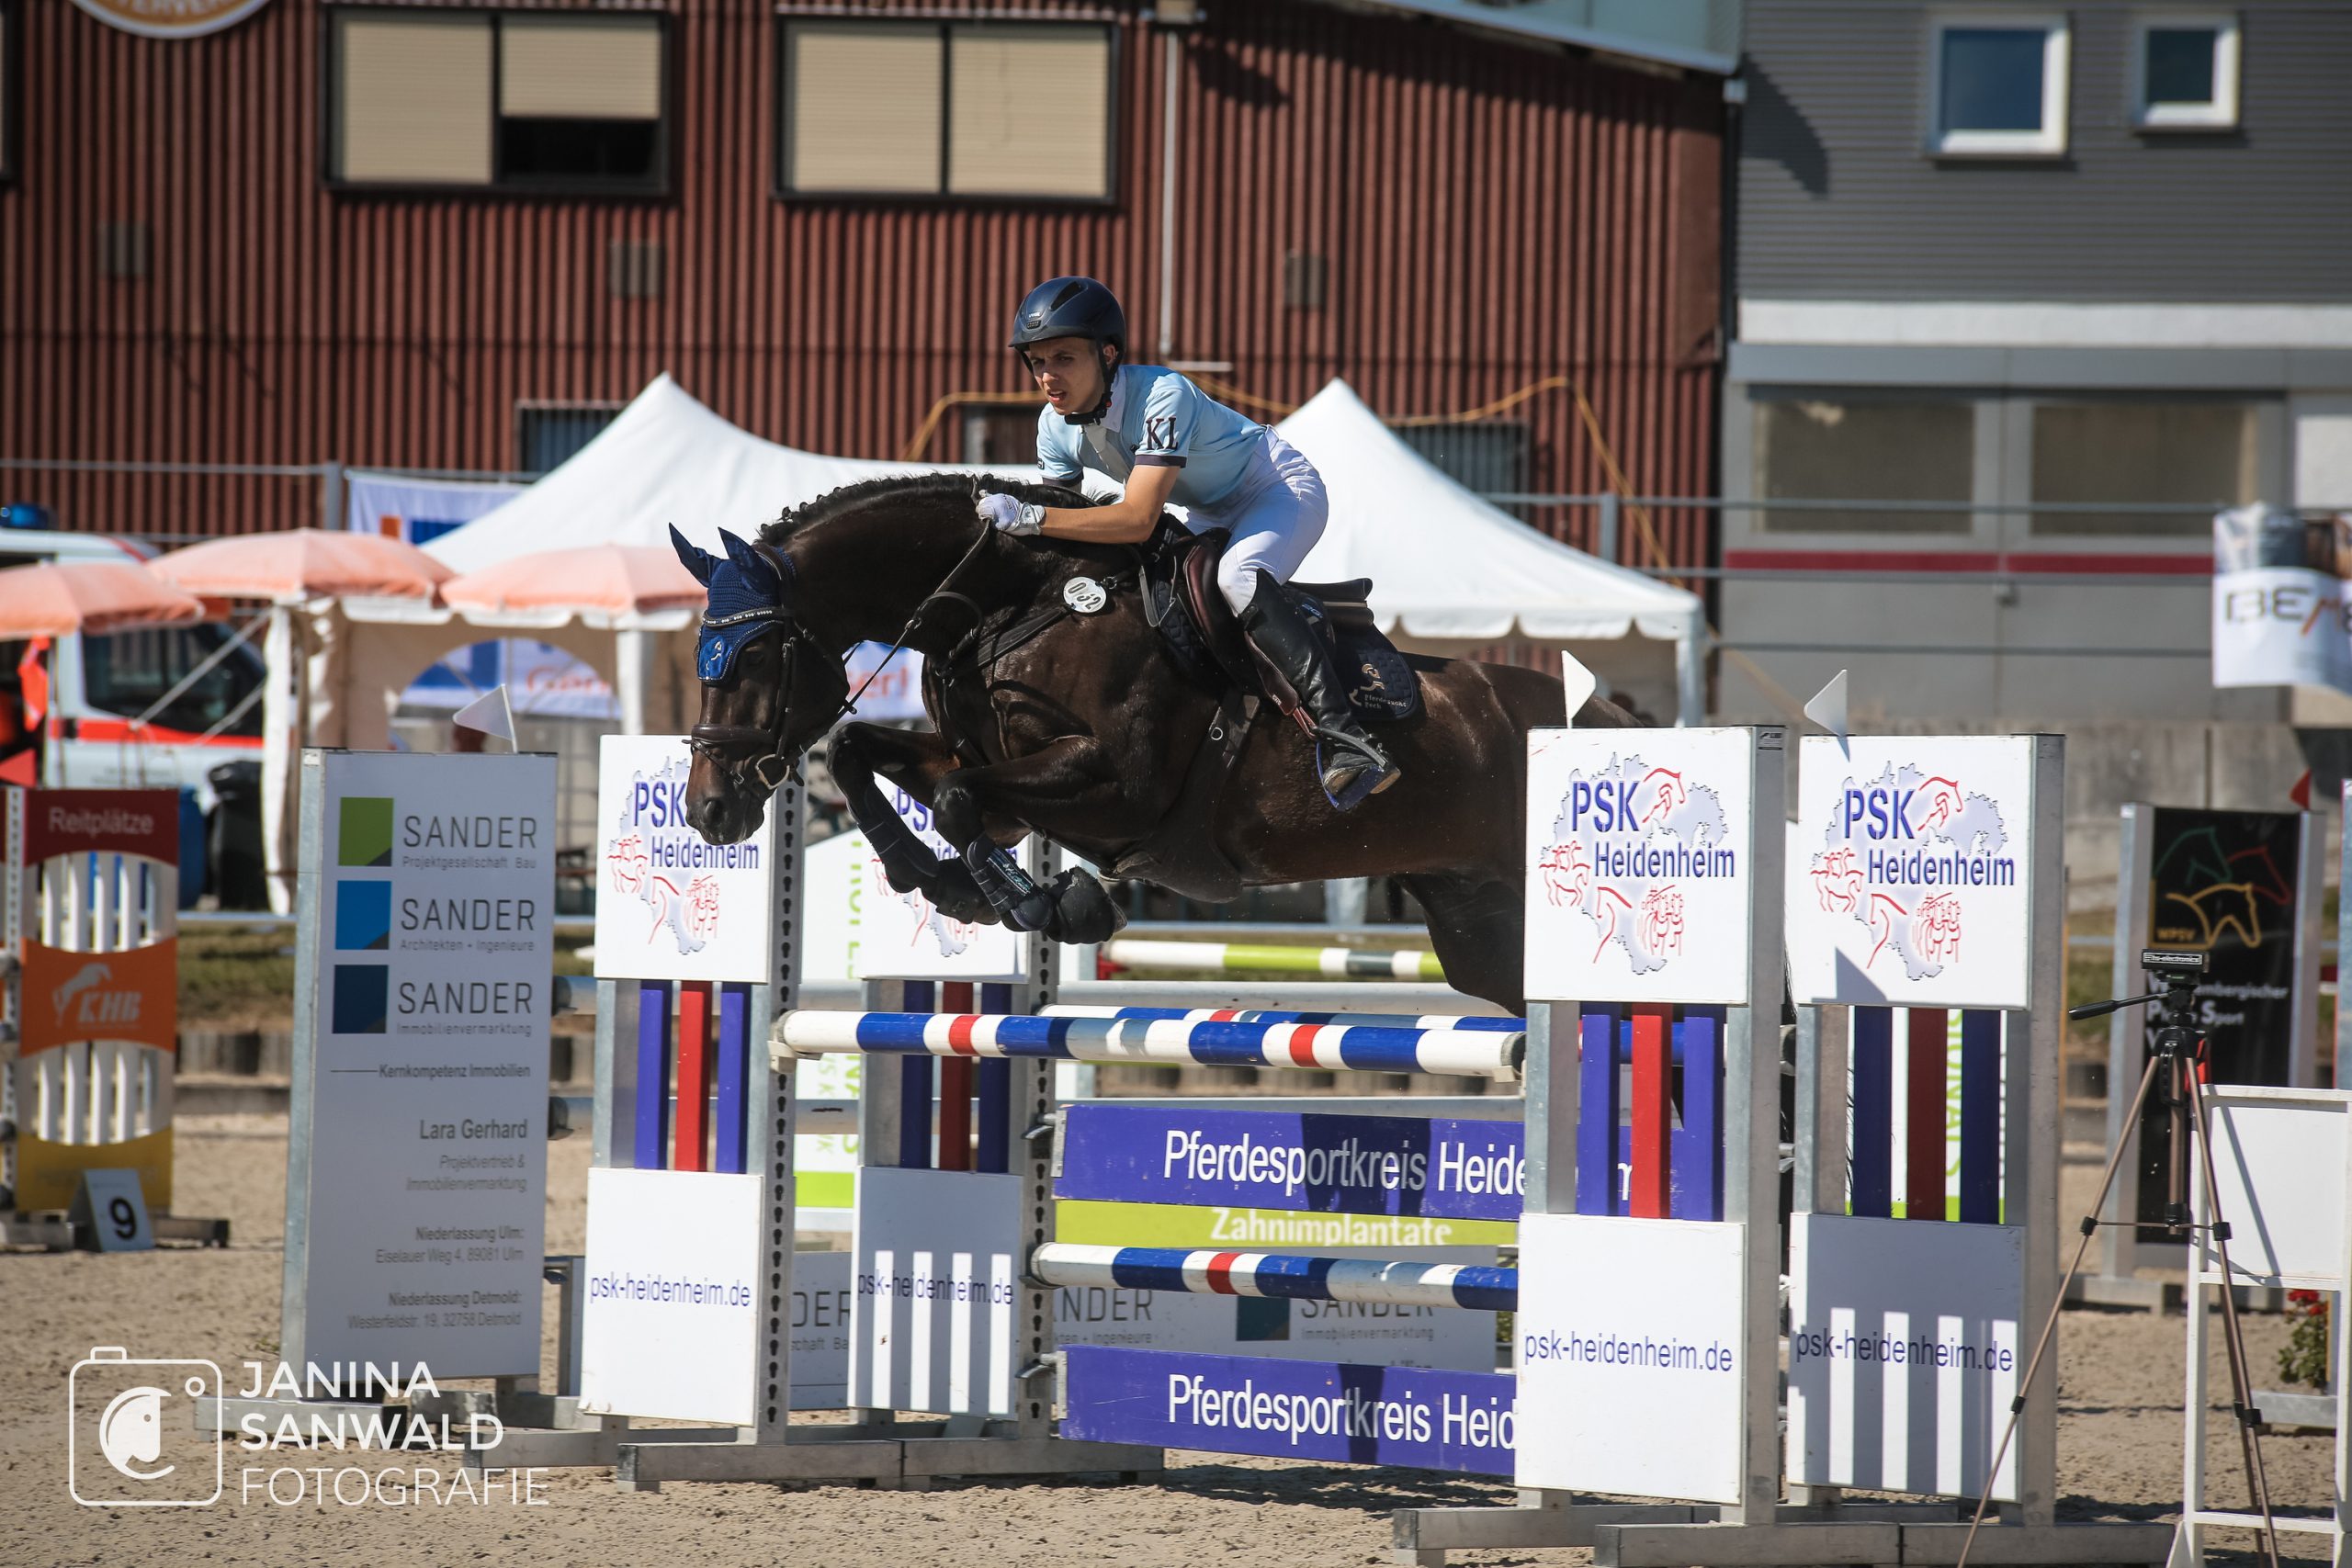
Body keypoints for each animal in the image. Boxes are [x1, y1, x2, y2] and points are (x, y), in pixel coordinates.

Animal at [673, 474, 1636, 1020]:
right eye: (699, 657)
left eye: (750, 655)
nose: (708, 810)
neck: (1011, 600)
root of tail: (1615, 712)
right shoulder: (991, 772)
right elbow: (860, 754)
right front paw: (944, 882)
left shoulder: (1117, 786)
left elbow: (951, 798)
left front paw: (1050, 904)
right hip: (1478, 923)